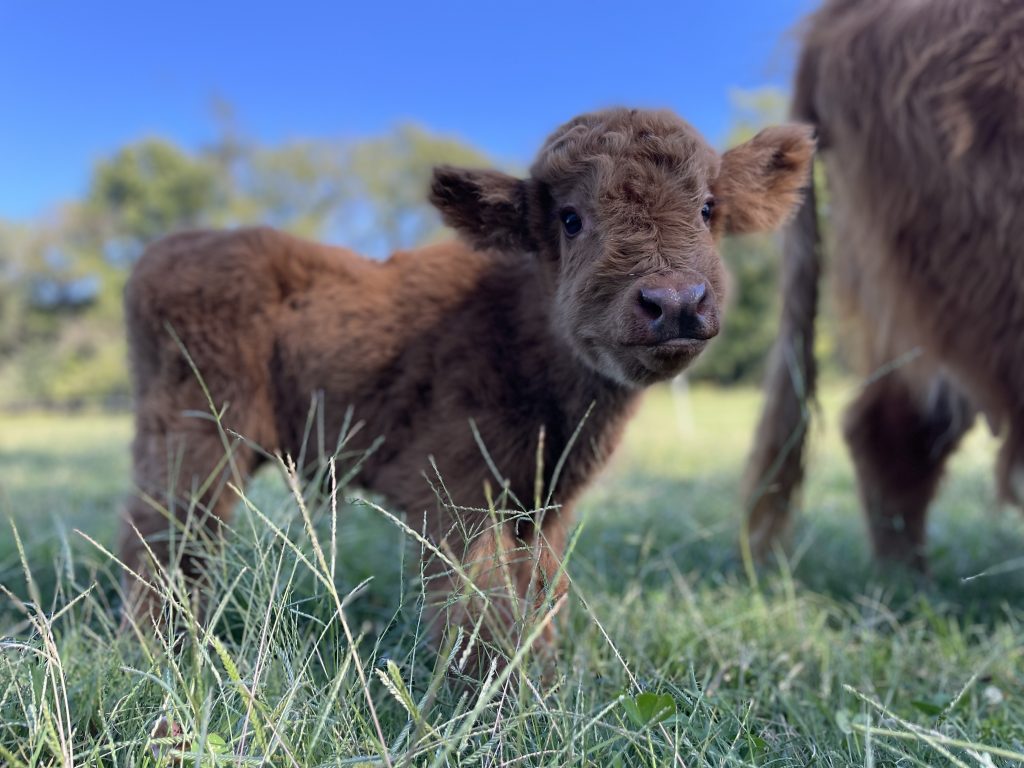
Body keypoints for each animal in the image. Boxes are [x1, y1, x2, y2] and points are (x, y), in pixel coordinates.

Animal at [121, 107, 813, 669]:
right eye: (570, 218)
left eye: (707, 208)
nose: (674, 302)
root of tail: (167, 250)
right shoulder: (453, 493)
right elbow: (478, 613)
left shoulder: (544, 505)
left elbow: (541, 595)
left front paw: (547, 674)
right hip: (193, 439)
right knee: (164, 537)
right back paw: (155, 649)